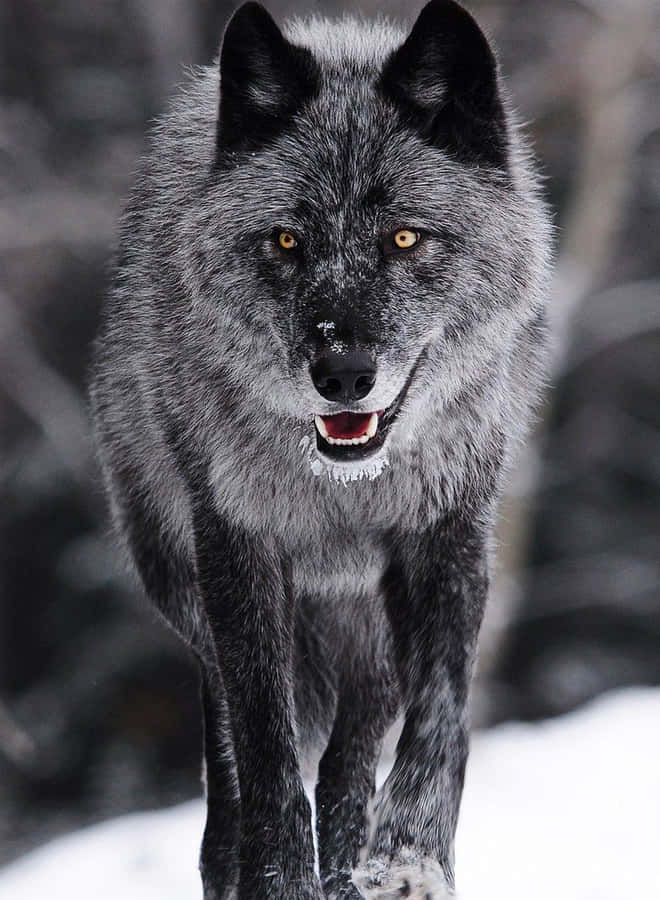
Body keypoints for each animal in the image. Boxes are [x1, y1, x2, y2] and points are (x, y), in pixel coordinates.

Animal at [90, 1, 551, 897]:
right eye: (286, 241)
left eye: (404, 239)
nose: (342, 374)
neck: (342, 488)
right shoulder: (239, 551)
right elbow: (265, 750)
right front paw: (277, 881)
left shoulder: (447, 536)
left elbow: (444, 711)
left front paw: (408, 855)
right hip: (185, 586)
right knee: (240, 760)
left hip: (364, 629)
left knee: (351, 754)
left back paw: (350, 861)